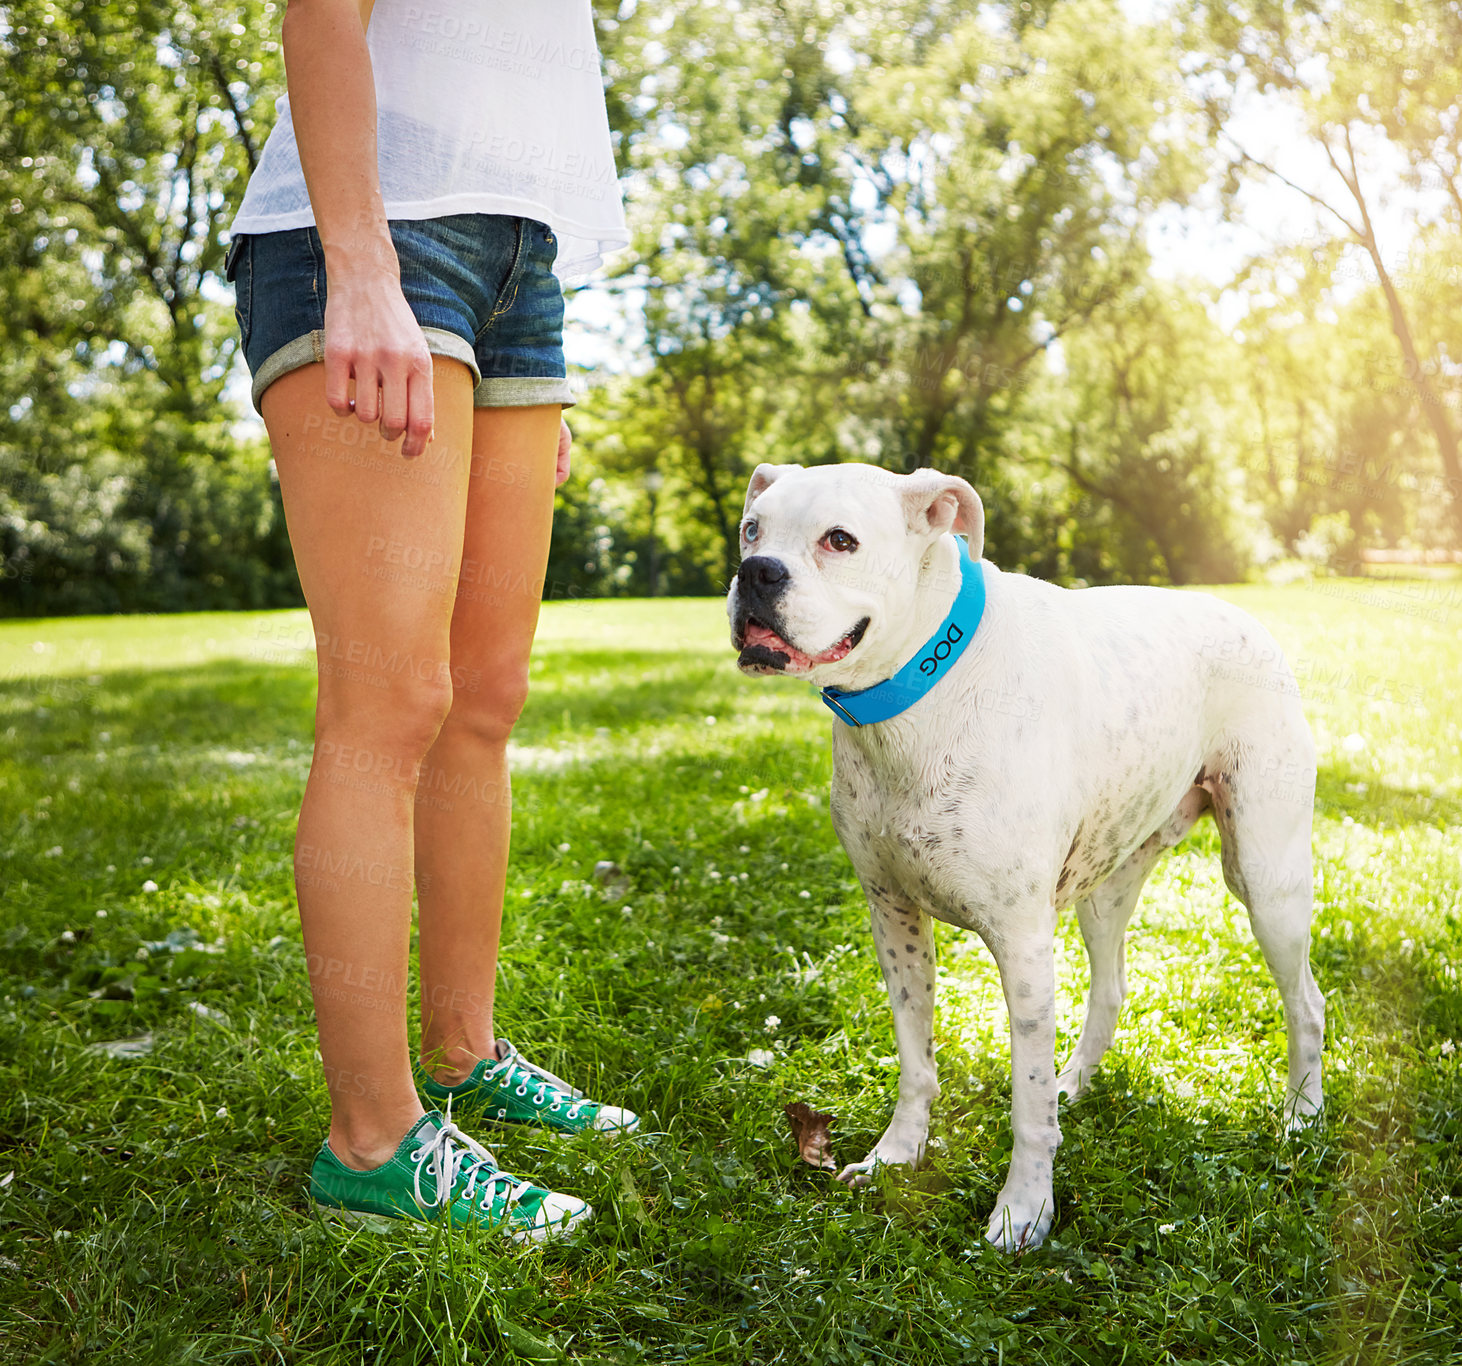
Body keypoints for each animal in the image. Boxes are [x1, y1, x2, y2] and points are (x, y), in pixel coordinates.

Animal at [728, 459, 1327, 1251]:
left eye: (840, 540)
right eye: (751, 529)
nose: (755, 571)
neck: (916, 695)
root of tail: (1244, 617)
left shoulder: (1021, 945)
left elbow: (1026, 1102)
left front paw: (1024, 1209)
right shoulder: (894, 920)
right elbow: (916, 1060)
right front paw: (896, 1155)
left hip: (1265, 877)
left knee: (1307, 1003)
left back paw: (1303, 1118)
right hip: (1108, 885)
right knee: (1110, 988)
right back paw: (1078, 1082)